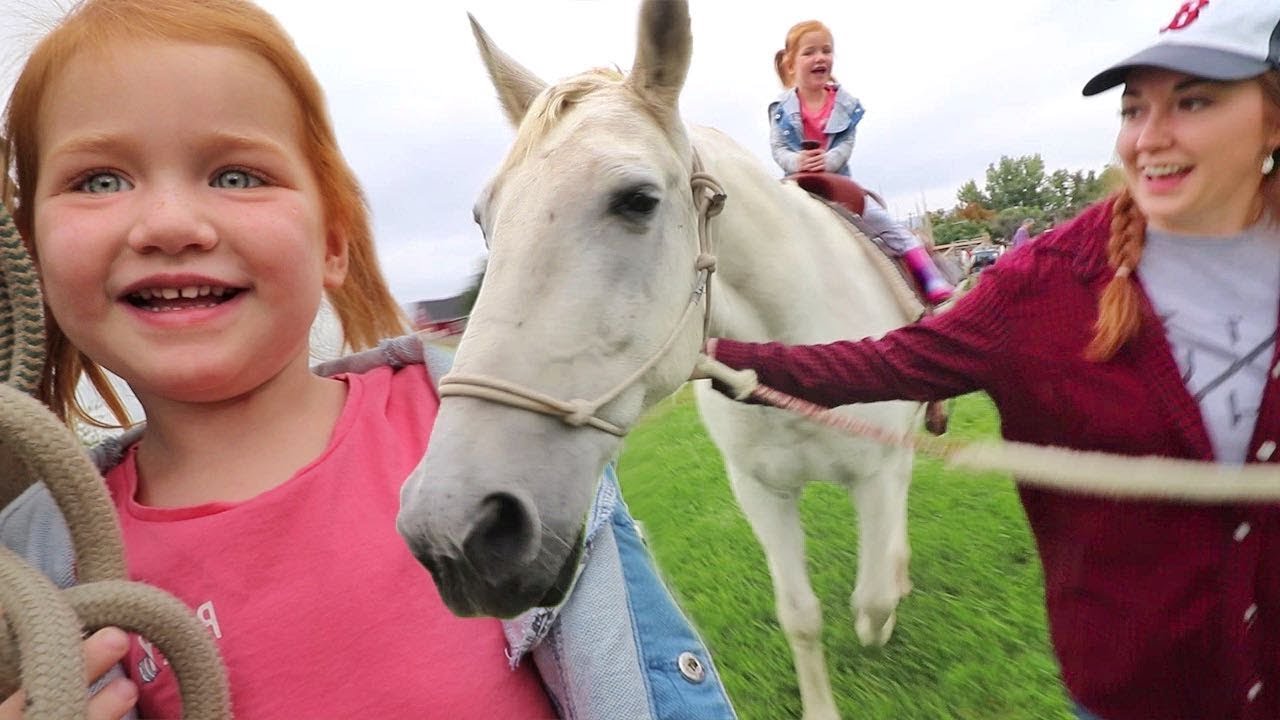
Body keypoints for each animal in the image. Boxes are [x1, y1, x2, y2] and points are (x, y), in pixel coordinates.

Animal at [397, 2, 921, 717]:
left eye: (638, 200)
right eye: (484, 220)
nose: (452, 532)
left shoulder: (875, 474)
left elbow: (869, 601)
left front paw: (886, 609)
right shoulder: (760, 493)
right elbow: (800, 616)